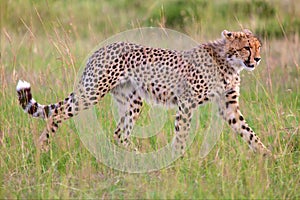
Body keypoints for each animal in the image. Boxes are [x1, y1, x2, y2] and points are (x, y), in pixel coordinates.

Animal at [17, 28, 274, 156]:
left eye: (258, 47)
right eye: (247, 47)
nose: (258, 59)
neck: (228, 61)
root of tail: (103, 47)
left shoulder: (228, 106)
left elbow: (248, 132)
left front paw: (268, 157)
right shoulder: (186, 102)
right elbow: (182, 134)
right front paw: (178, 160)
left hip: (132, 100)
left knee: (120, 133)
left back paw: (135, 156)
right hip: (92, 92)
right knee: (57, 114)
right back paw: (42, 147)